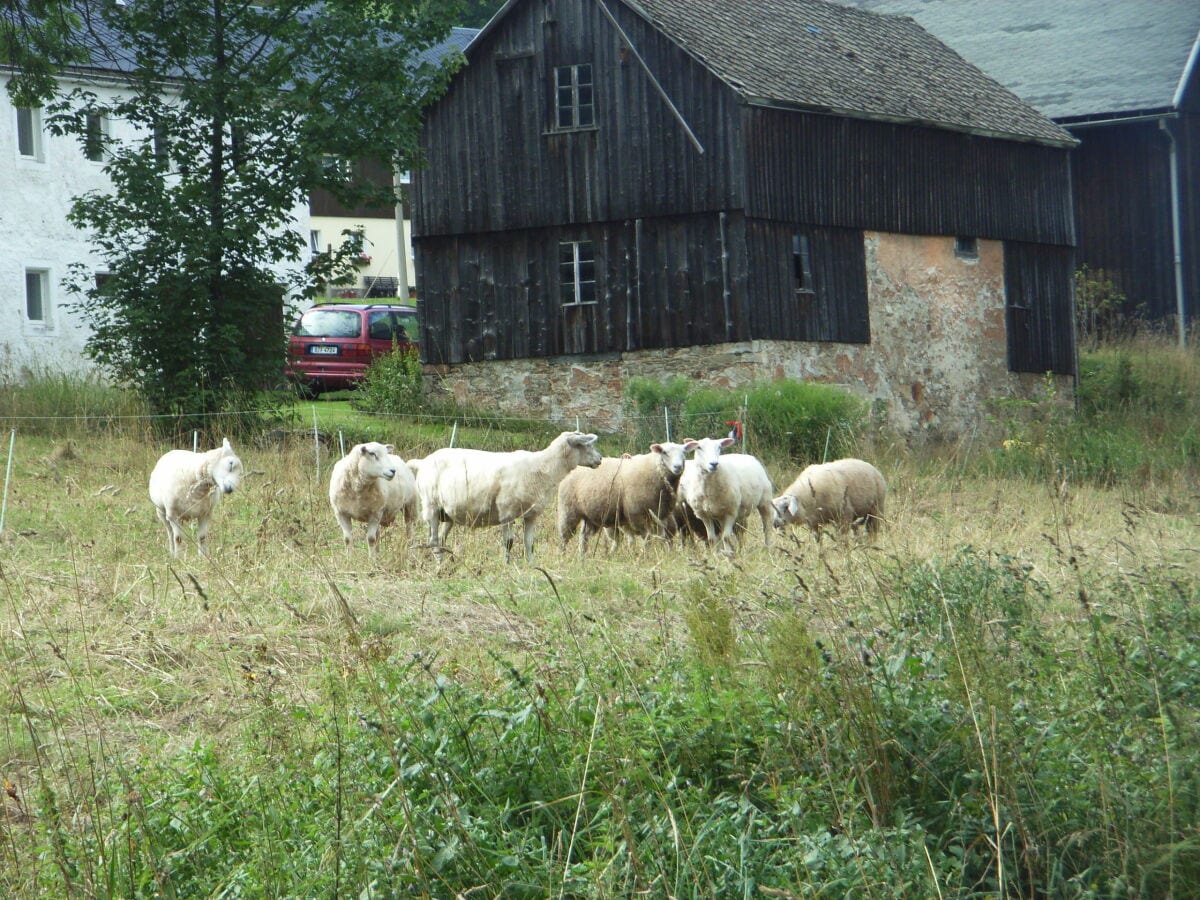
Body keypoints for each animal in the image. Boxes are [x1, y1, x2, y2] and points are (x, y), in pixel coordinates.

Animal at [412, 432, 604, 564]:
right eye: (587, 446)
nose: (600, 460)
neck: (543, 468)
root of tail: (422, 462)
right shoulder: (506, 512)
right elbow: (509, 543)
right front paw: (507, 564)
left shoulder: (531, 514)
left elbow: (529, 543)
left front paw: (532, 566)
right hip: (431, 506)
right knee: (433, 540)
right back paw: (440, 564)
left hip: (448, 513)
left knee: (440, 539)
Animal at [556, 441, 691, 554]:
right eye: (664, 452)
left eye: (684, 452)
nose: (678, 467)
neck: (655, 470)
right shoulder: (636, 513)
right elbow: (646, 537)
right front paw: (646, 554)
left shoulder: (660, 515)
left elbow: (659, 536)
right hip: (568, 510)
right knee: (564, 536)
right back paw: (562, 555)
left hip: (591, 515)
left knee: (584, 536)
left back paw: (582, 556)